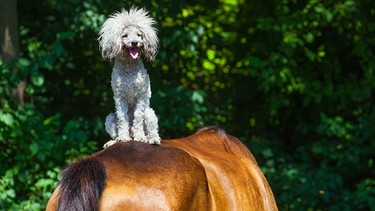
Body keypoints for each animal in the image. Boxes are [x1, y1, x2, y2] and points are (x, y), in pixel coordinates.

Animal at [97, 7, 161, 148]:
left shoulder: (141, 96)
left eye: (139, 34)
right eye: (124, 35)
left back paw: (151, 139)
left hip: (149, 114)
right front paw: (122, 138)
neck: (129, 66)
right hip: (110, 118)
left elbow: (137, 118)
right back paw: (114, 141)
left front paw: (140, 137)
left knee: (152, 131)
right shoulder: (120, 97)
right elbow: (122, 119)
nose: (134, 43)